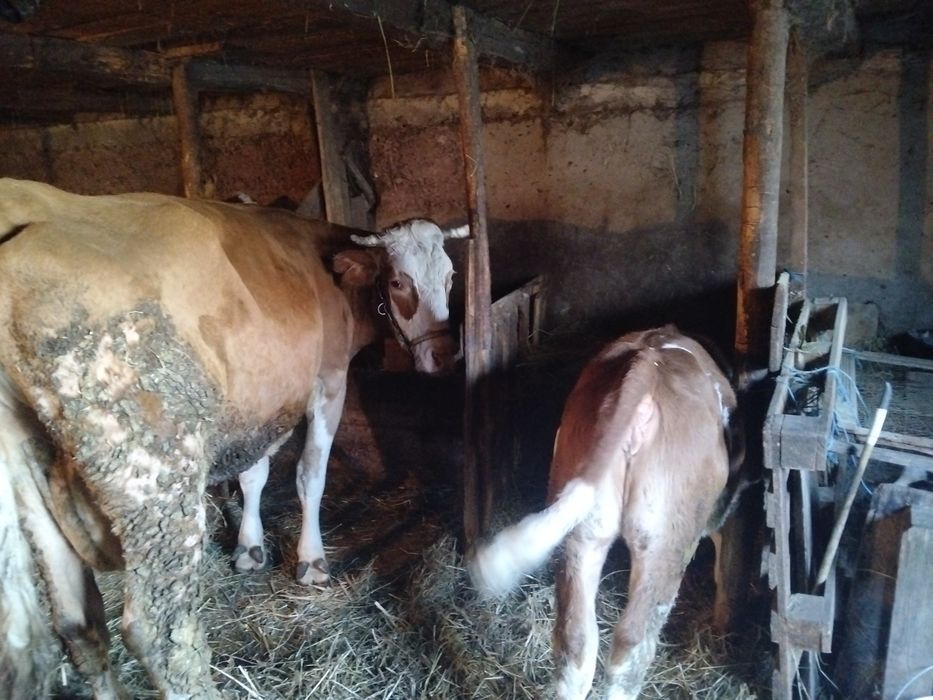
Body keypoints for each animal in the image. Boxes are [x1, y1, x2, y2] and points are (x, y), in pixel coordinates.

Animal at [0, 178, 466, 699]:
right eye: (399, 282)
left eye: (450, 277)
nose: (444, 356)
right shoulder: (327, 380)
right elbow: (310, 475)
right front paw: (310, 561)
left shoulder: (261, 397)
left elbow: (253, 475)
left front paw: (249, 549)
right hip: (154, 475)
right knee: (158, 631)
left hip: (27, 485)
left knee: (67, 628)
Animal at [468, 325, 741, 700]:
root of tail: (648, 362)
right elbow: (726, 564)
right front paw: (721, 625)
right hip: (664, 541)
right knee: (630, 646)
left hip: (583, 532)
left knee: (576, 641)